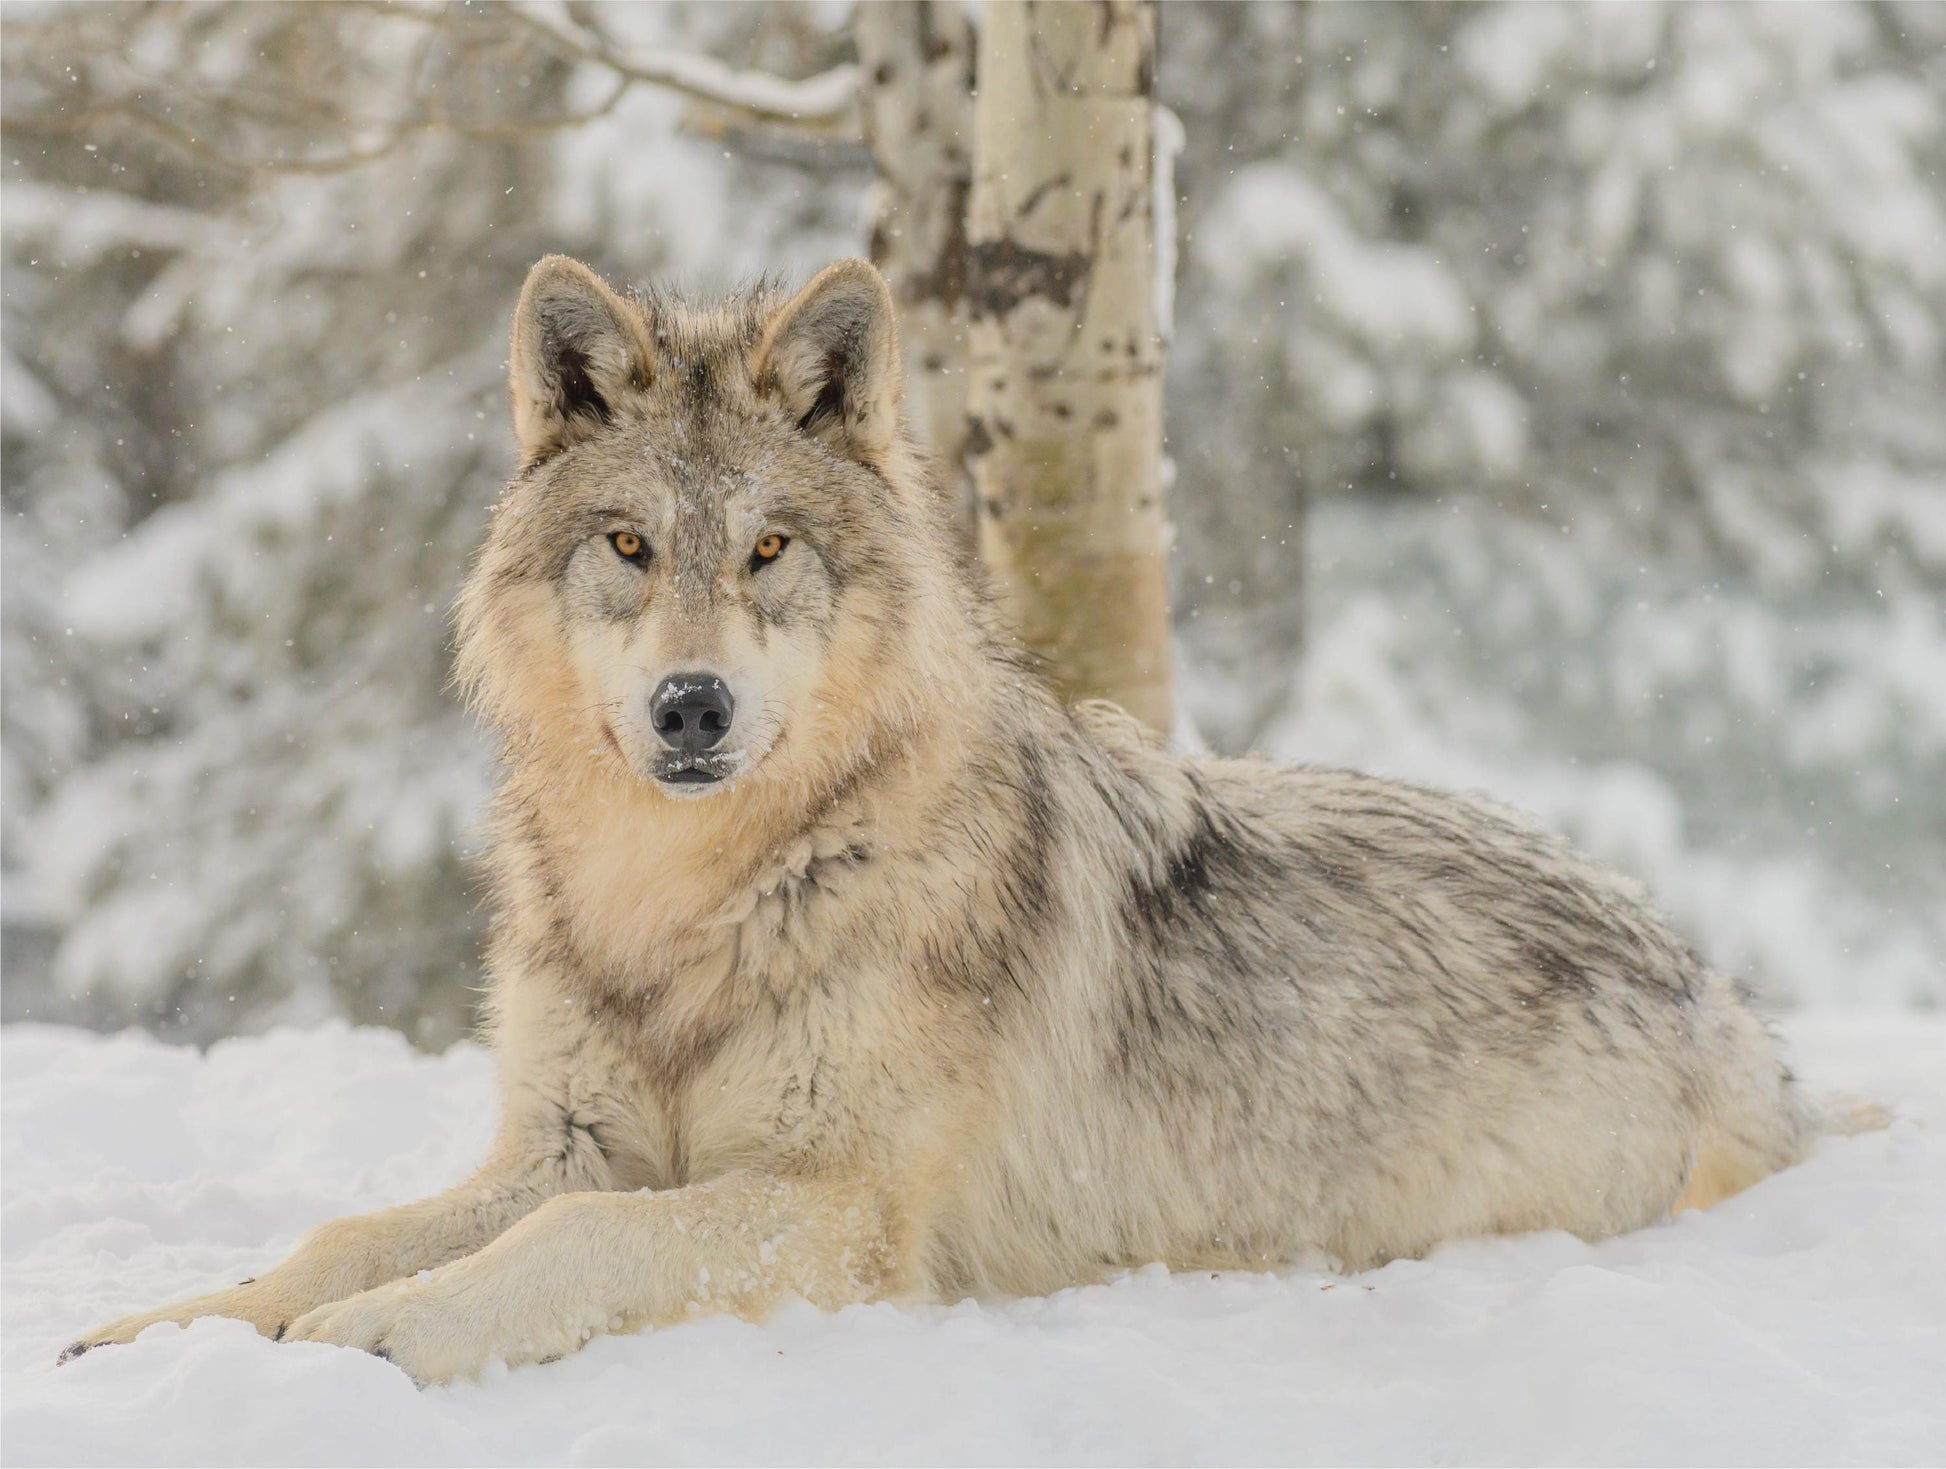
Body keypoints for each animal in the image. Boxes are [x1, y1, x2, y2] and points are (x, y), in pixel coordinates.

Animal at [65, 256, 1859, 1384]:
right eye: (632, 545)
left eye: (771, 548)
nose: (692, 706)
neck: (688, 901)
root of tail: (1720, 992)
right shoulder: (567, 1137)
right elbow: (339, 1233)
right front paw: (175, 1328)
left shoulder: (831, 1203)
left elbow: (567, 1240)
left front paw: (375, 1339)